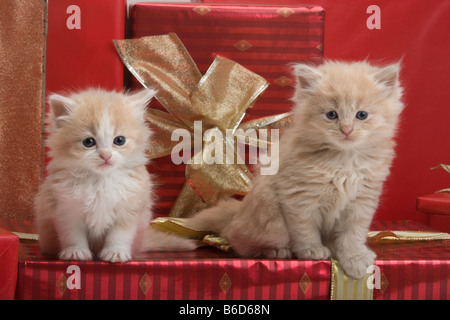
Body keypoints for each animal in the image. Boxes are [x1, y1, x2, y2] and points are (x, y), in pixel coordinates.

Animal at [34, 88, 196, 262]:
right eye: (88, 142)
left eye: (119, 140)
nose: (106, 155)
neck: (100, 181)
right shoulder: (65, 207)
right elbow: (72, 234)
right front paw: (76, 252)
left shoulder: (129, 206)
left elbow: (119, 235)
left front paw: (115, 252)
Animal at [186, 60, 404, 278]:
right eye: (331, 115)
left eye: (362, 115)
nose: (346, 129)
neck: (344, 160)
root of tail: (238, 213)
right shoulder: (300, 197)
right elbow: (305, 229)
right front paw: (312, 250)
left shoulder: (362, 201)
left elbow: (352, 234)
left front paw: (355, 258)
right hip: (269, 218)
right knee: (238, 240)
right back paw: (276, 251)